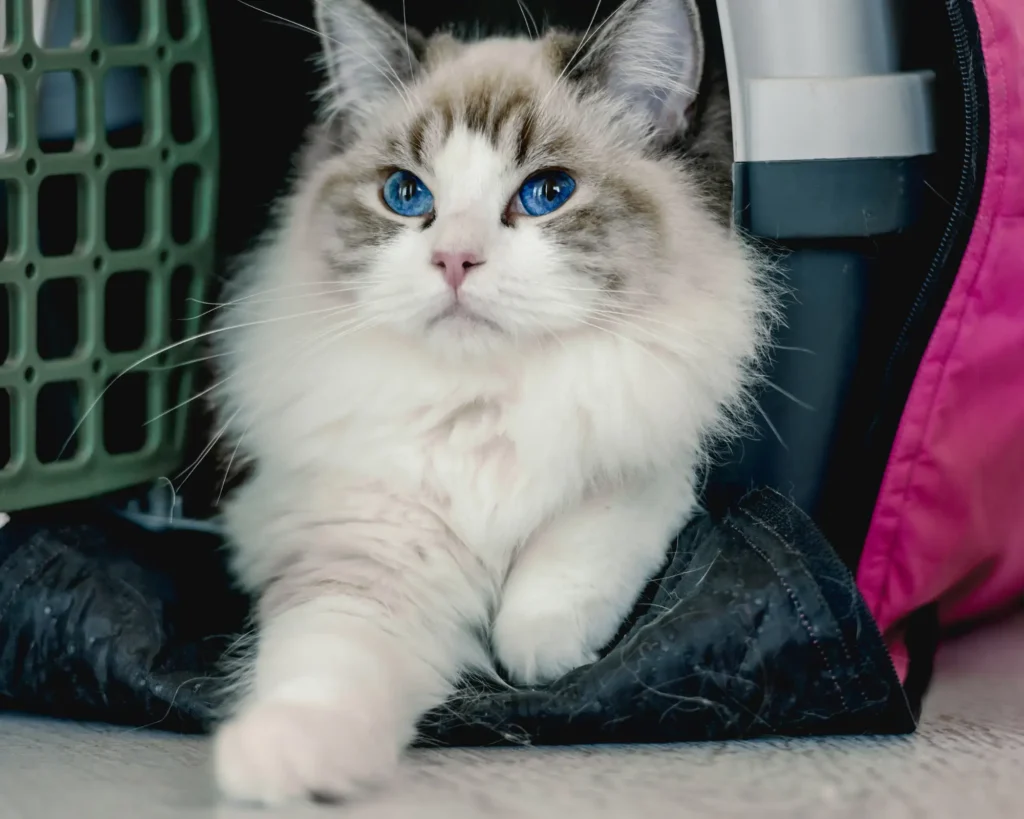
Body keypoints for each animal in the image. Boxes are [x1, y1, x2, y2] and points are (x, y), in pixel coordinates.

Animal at [209, 0, 770, 806]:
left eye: (547, 194)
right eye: (406, 195)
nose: (454, 260)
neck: (483, 399)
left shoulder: (650, 456)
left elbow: (575, 547)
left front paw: (538, 652)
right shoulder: (365, 552)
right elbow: (324, 666)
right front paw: (280, 761)